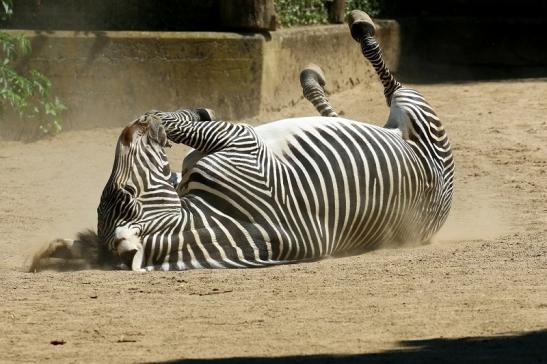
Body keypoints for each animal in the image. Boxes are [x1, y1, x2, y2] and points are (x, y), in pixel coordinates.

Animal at [30, 9, 454, 272]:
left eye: (123, 195)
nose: (131, 129)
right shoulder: (241, 141)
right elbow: (184, 129)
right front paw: (171, 120)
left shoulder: (234, 143)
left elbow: (185, 127)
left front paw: (181, 115)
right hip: (415, 108)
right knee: (388, 80)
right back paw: (358, 25)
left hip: (410, 110)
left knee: (375, 89)